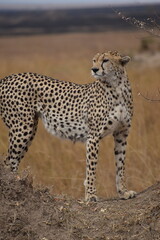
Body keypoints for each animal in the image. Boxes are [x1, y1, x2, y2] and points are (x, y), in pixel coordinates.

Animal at [0, 51, 136, 202]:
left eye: (105, 60)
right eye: (94, 60)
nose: (94, 69)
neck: (116, 87)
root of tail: (7, 78)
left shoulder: (121, 134)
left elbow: (120, 165)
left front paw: (123, 192)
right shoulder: (93, 137)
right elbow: (91, 167)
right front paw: (90, 195)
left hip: (29, 129)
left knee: (13, 160)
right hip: (22, 128)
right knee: (8, 161)